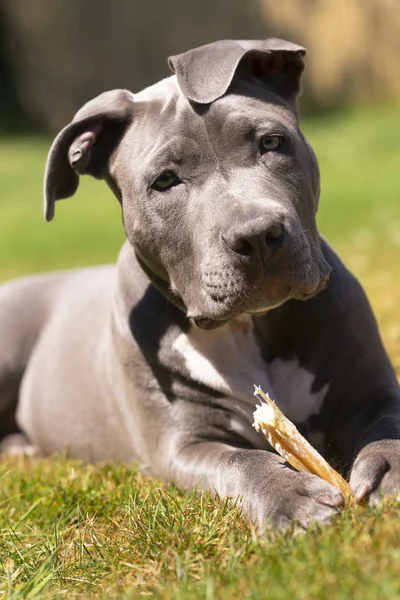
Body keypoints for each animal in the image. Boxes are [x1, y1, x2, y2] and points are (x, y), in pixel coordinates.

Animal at [0, 39, 400, 528]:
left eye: (271, 142)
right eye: (165, 181)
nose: (256, 235)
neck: (250, 326)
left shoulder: (372, 389)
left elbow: (388, 423)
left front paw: (389, 468)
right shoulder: (182, 444)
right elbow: (241, 461)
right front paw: (290, 496)